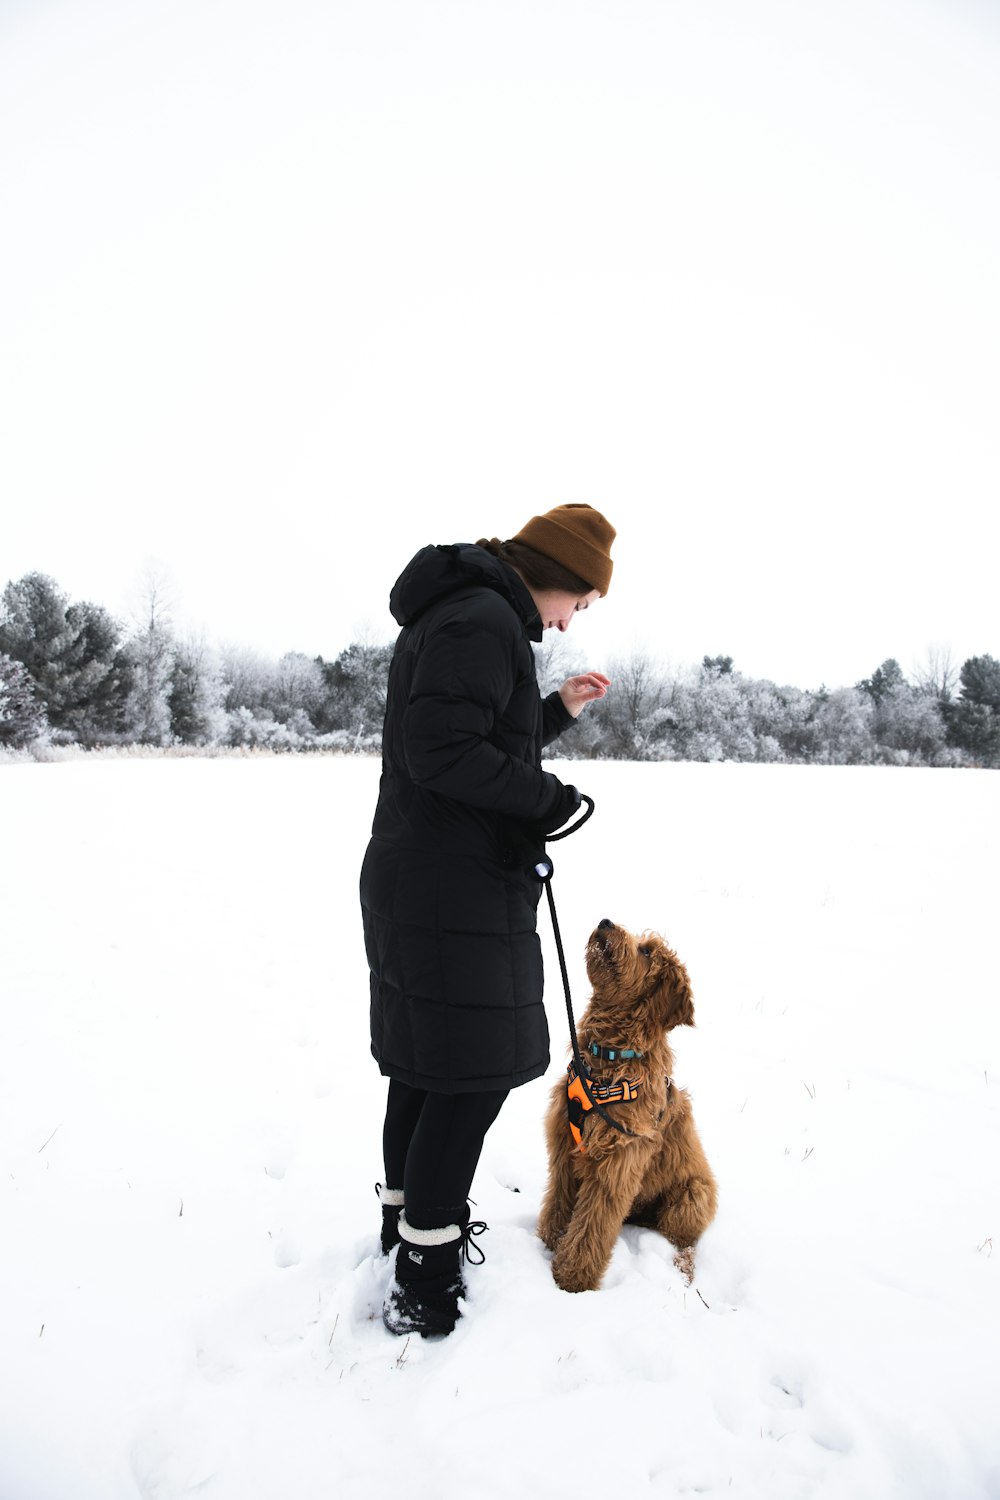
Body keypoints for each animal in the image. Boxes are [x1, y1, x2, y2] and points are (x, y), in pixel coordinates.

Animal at [539, 918, 719, 1296]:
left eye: (647, 950)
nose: (605, 921)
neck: (609, 1057)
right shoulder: (563, 1147)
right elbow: (559, 1202)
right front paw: (548, 1242)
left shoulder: (617, 1161)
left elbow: (591, 1226)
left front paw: (572, 1280)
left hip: (691, 1199)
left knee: (685, 1243)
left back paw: (684, 1272)